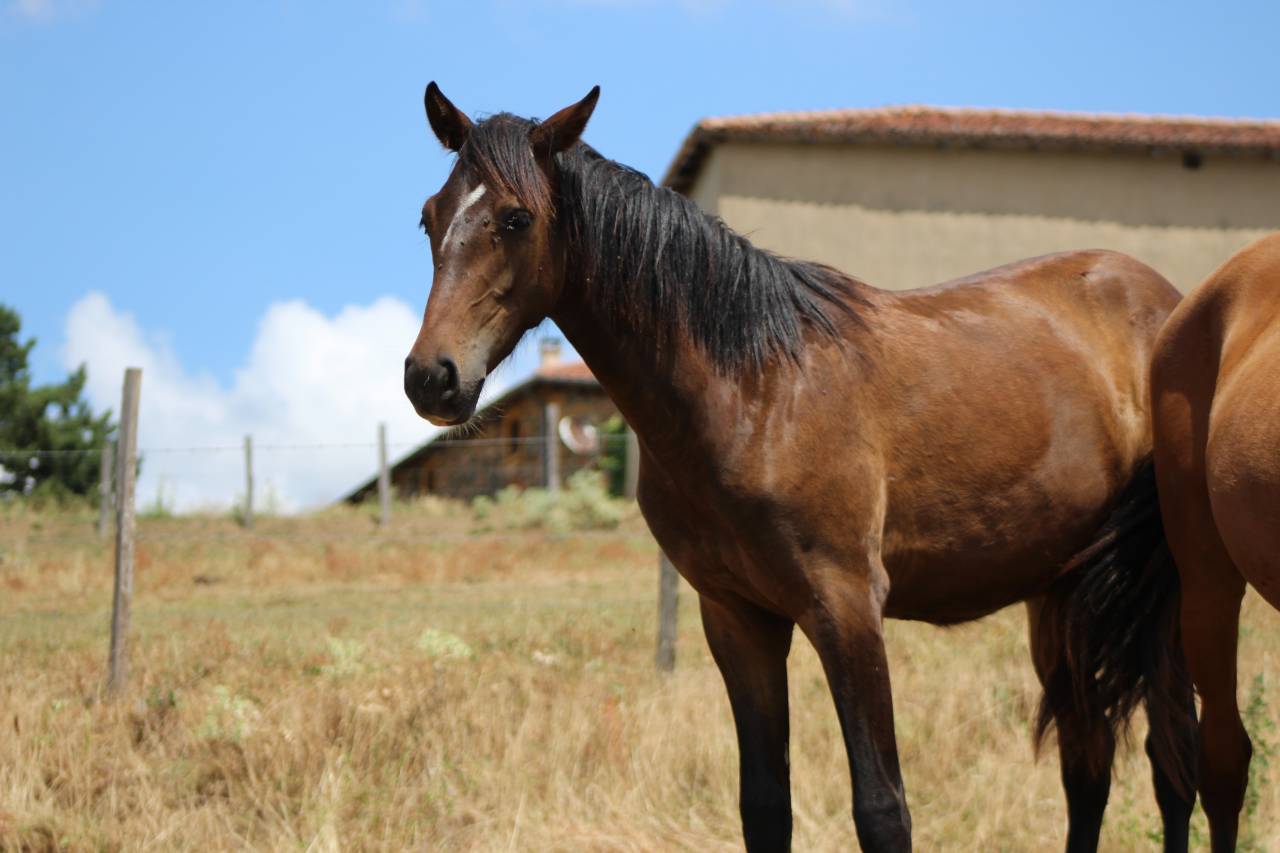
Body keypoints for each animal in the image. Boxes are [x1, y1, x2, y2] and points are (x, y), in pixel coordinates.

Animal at [402, 83, 1197, 852]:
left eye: (516, 218)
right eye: (428, 217)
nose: (431, 378)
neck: (756, 390)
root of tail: (1169, 302)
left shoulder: (846, 606)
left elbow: (882, 810)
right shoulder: (737, 618)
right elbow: (764, 807)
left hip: (1166, 603)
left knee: (1177, 770)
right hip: (1058, 598)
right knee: (1089, 768)